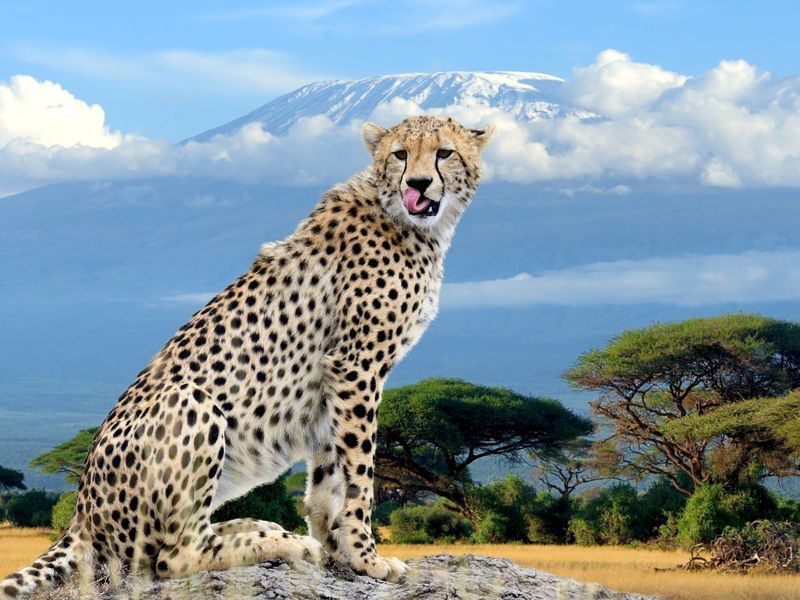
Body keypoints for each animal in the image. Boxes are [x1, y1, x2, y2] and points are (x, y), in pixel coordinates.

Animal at [1, 115, 493, 598]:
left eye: (444, 153)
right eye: (400, 154)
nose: (419, 183)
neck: (409, 221)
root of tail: (79, 515)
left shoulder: (334, 384)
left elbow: (326, 478)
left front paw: (336, 550)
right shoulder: (356, 366)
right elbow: (359, 475)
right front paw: (365, 558)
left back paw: (261, 527)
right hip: (192, 401)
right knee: (171, 557)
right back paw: (277, 542)